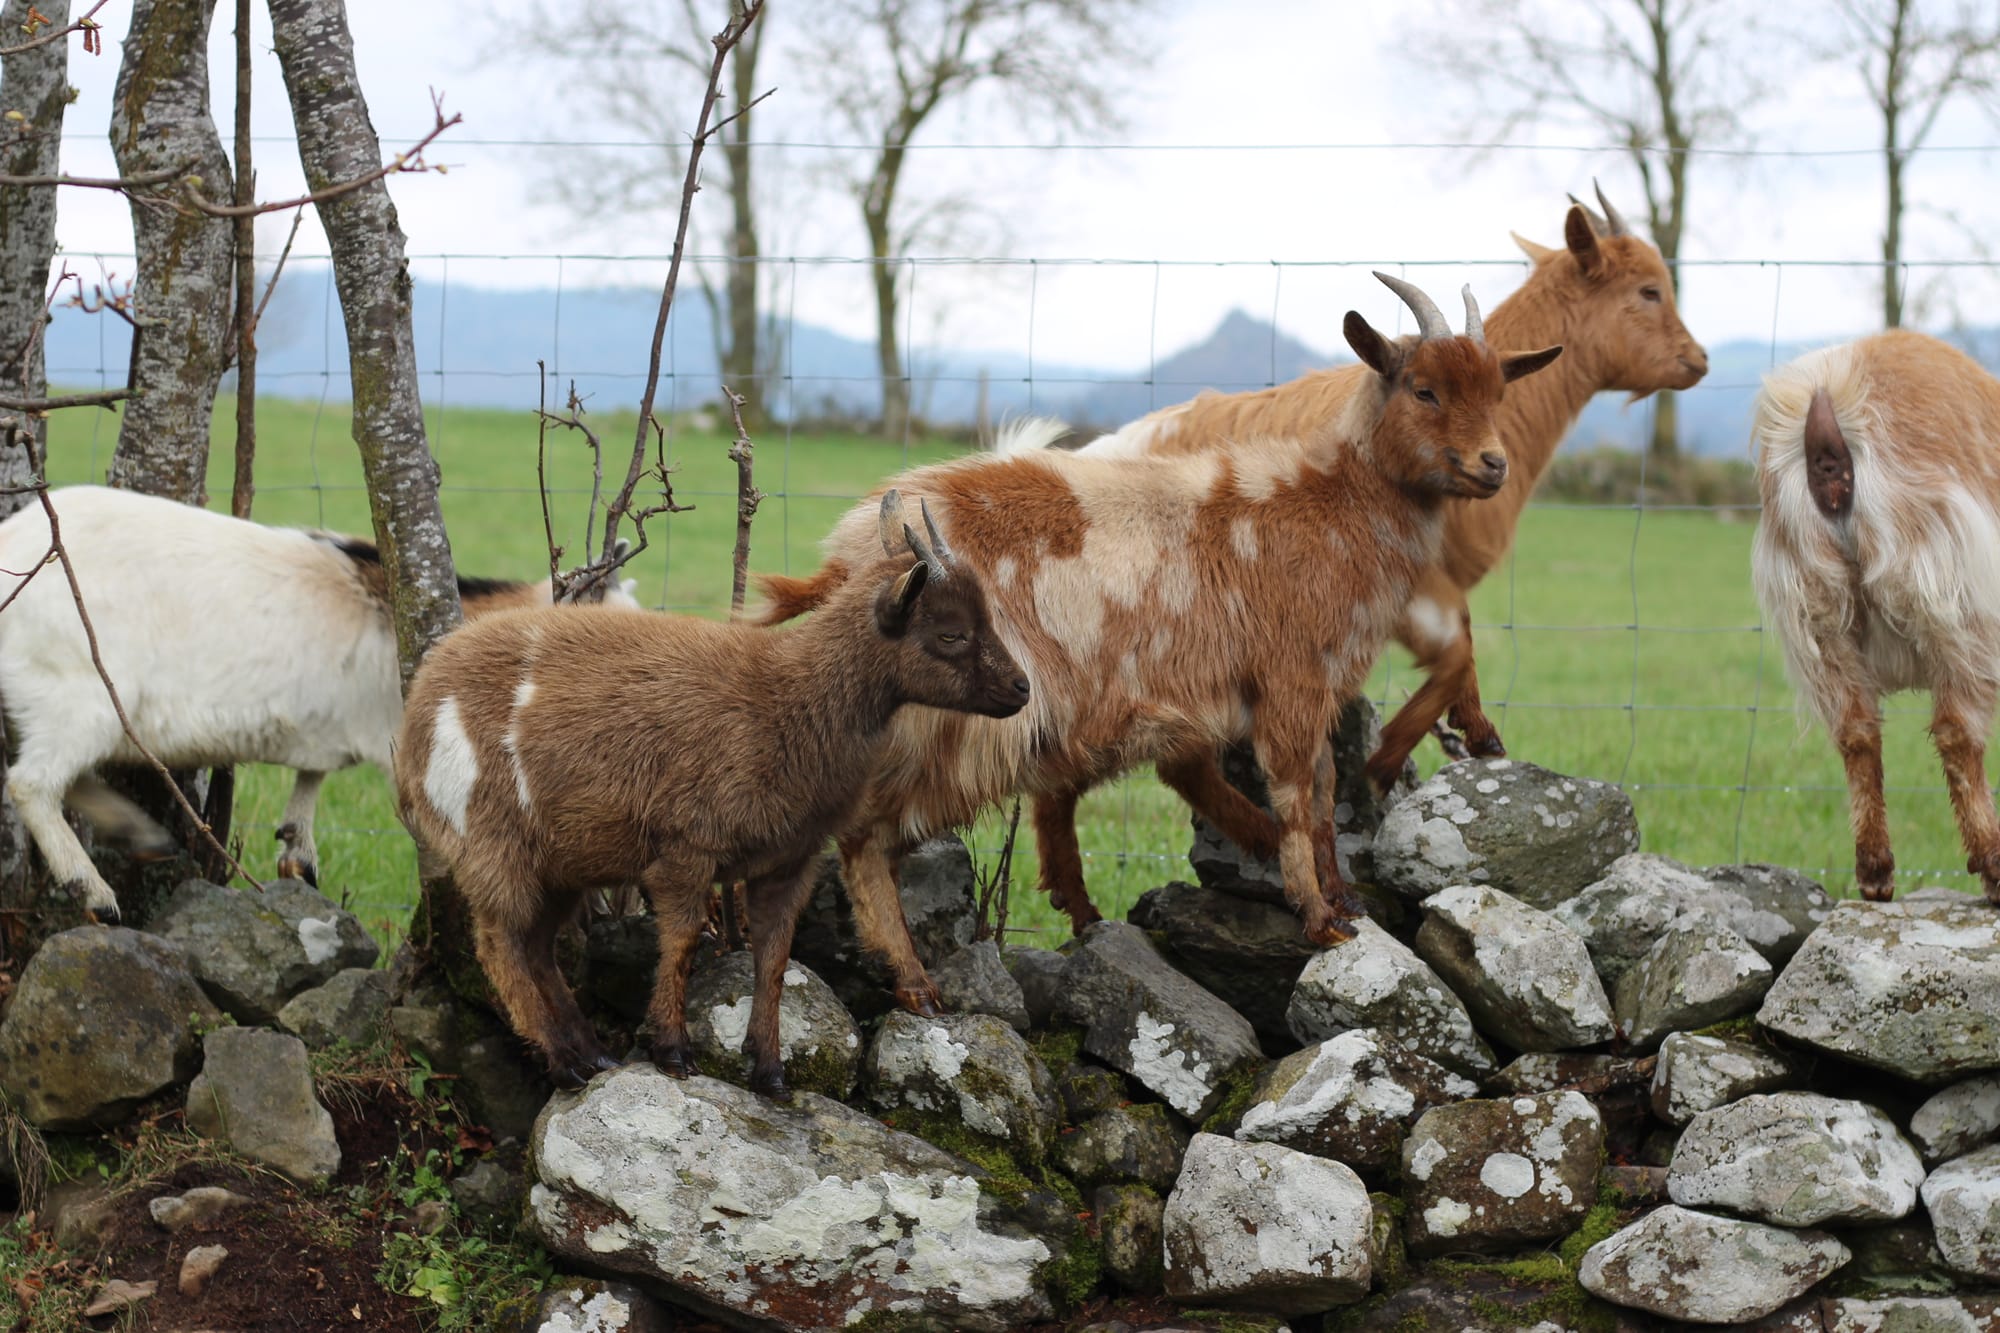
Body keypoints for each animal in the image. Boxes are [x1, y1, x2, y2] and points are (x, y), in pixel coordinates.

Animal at [0, 482, 636, 920]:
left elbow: (309, 781)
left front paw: (297, 855)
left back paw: (138, 834)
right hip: (79, 692)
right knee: (32, 784)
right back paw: (92, 888)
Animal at [388, 492, 1024, 1096]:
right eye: (950, 633)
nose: (1020, 689)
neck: (786, 701)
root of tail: (415, 719)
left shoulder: (789, 860)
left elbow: (774, 955)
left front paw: (769, 1070)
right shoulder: (685, 847)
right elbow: (683, 939)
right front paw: (672, 1051)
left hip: (559, 861)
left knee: (537, 946)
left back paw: (590, 1052)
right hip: (492, 845)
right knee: (499, 944)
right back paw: (563, 1062)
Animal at [756, 278, 1552, 1008]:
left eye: (1496, 391)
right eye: (1424, 389)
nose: (1493, 465)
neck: (1331, 504)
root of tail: (855, 551)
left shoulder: (1314, 683)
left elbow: (1326, 791)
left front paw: (1341, 896)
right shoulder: (1291, 677)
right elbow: (1299, 792)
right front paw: (1321, 917)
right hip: (954, 726)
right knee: (864, 835)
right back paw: (912, 978)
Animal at [1752, 330, 2000, 904]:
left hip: (1817, 606)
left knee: (1856, 731)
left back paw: (1874, 871)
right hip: (1952, 597)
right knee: (1957, 731)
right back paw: (1994, 865)